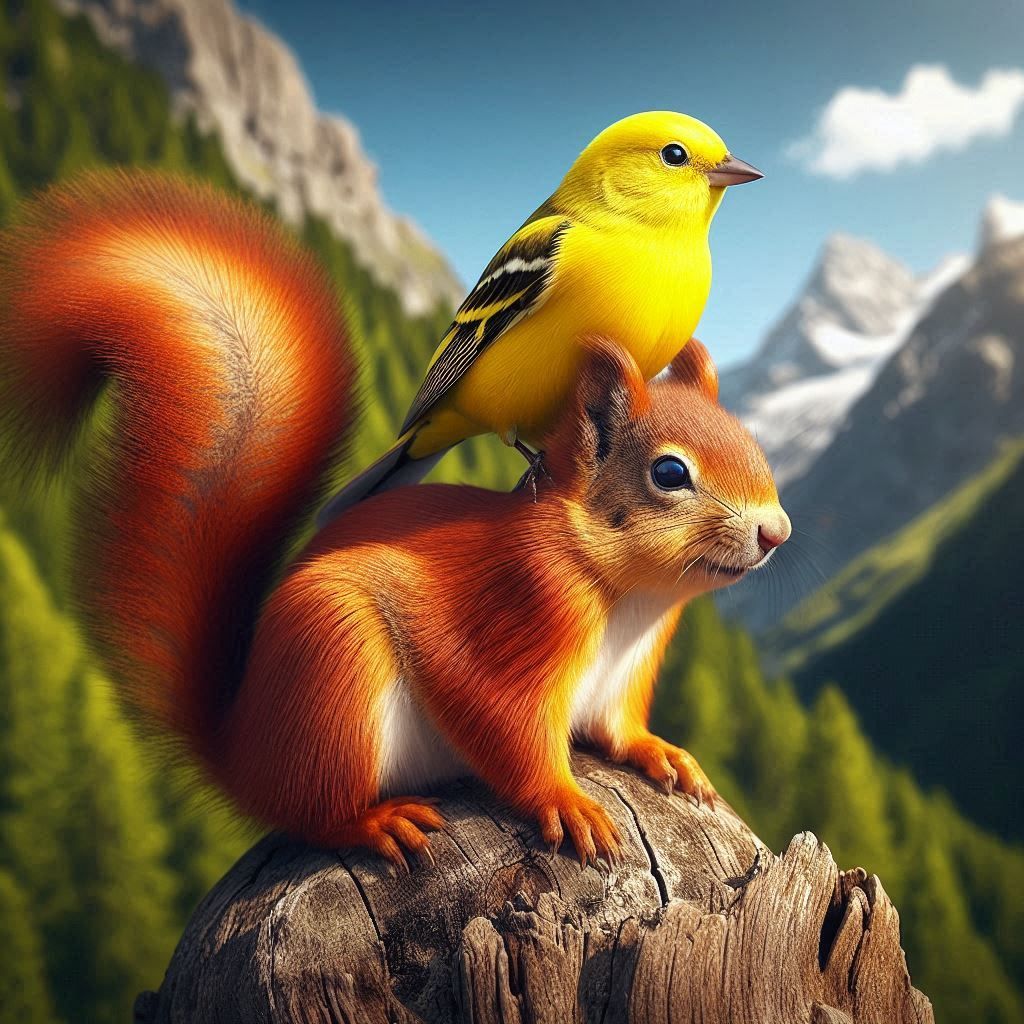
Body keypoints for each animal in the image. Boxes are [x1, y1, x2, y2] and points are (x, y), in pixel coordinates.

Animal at [0, 171, 790, 867]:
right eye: (669, 474)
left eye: (754, 446)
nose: (775, 532)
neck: (629, 593)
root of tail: (238, 749)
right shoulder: (515, 614)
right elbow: (500, 721)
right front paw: (566, 802)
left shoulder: (623, 677)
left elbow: (618, 731)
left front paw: (666, 755)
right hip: (335, 669)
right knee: (313, 810)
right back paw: (372, 822)